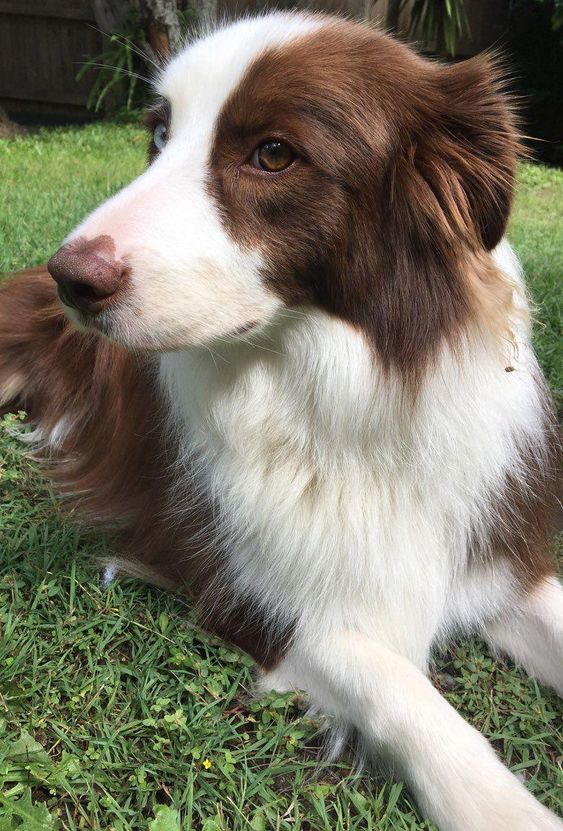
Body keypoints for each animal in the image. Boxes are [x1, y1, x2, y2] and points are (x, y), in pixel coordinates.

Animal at [1, 13, 563, 831]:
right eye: (161, 134)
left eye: (273, 154)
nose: (70, 278)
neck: (340, 396)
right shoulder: (266, 602)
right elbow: (411, 698)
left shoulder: (497, 553)